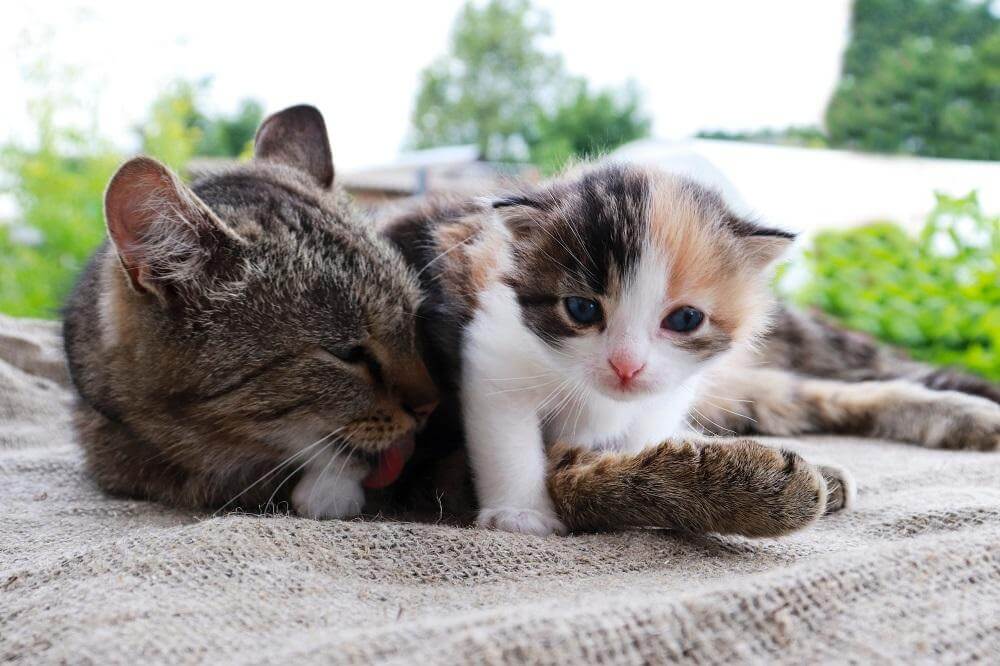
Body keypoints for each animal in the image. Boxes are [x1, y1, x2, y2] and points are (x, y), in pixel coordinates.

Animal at [382, 163, 1000, 536]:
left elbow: (647, 441)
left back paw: (969, 417)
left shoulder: (661, 394)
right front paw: (521, 516)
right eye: (581, 309)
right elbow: (515, 443)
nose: (626, 365)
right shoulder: (493, 354)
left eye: (684, 319)